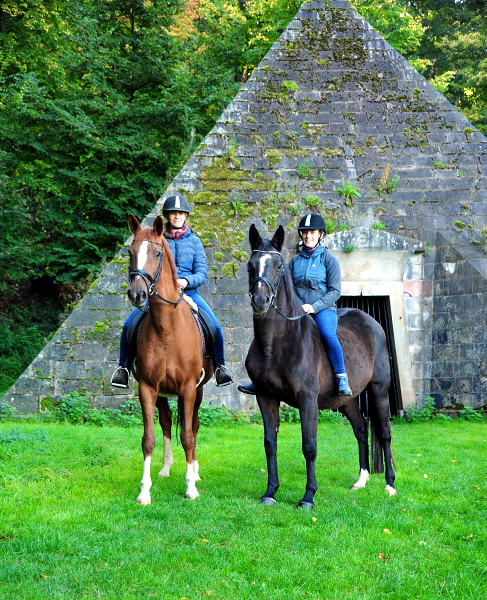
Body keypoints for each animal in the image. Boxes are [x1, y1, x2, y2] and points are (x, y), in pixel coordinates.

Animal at [126, 213, 214, 504]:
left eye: (156, 253)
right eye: (130, 252)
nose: (137, 294)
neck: (166, 328)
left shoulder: (188, 389)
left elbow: (187, 435)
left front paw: (191, 487)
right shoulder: (147, 388)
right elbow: (148, 438)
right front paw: (144, 491)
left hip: (198, 392)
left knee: (194, 426)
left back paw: (195, 472)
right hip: (163, 394)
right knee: (165, 423)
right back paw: (165, 468)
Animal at [246, 225, 398, 506]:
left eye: (278, 266)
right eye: (250, 265)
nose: (260, 301)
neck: (276, 345)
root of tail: (372, 323)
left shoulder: (307, 400)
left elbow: (309, 446)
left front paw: (308, 496)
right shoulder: (265, 397)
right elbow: (270, 443)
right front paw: (270, 492)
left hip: (379, 391)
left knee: (384, 433)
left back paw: (390, 485)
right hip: (347, 399)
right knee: (361, 430)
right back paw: (360, 481)